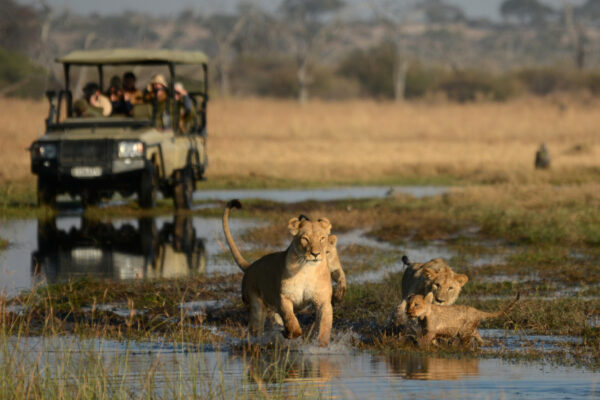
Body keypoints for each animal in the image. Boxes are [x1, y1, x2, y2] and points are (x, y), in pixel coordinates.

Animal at [221, 200, 332, 346]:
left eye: (322, 238)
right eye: (305, 239)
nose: (315, 254)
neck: (307, 269)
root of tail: (251, 266)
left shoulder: (323, 300)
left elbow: (324, 326)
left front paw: (322, 345)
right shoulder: (284, 297)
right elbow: (291, 320)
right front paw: (289, 334)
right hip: (256, 308)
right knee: (255, 330)